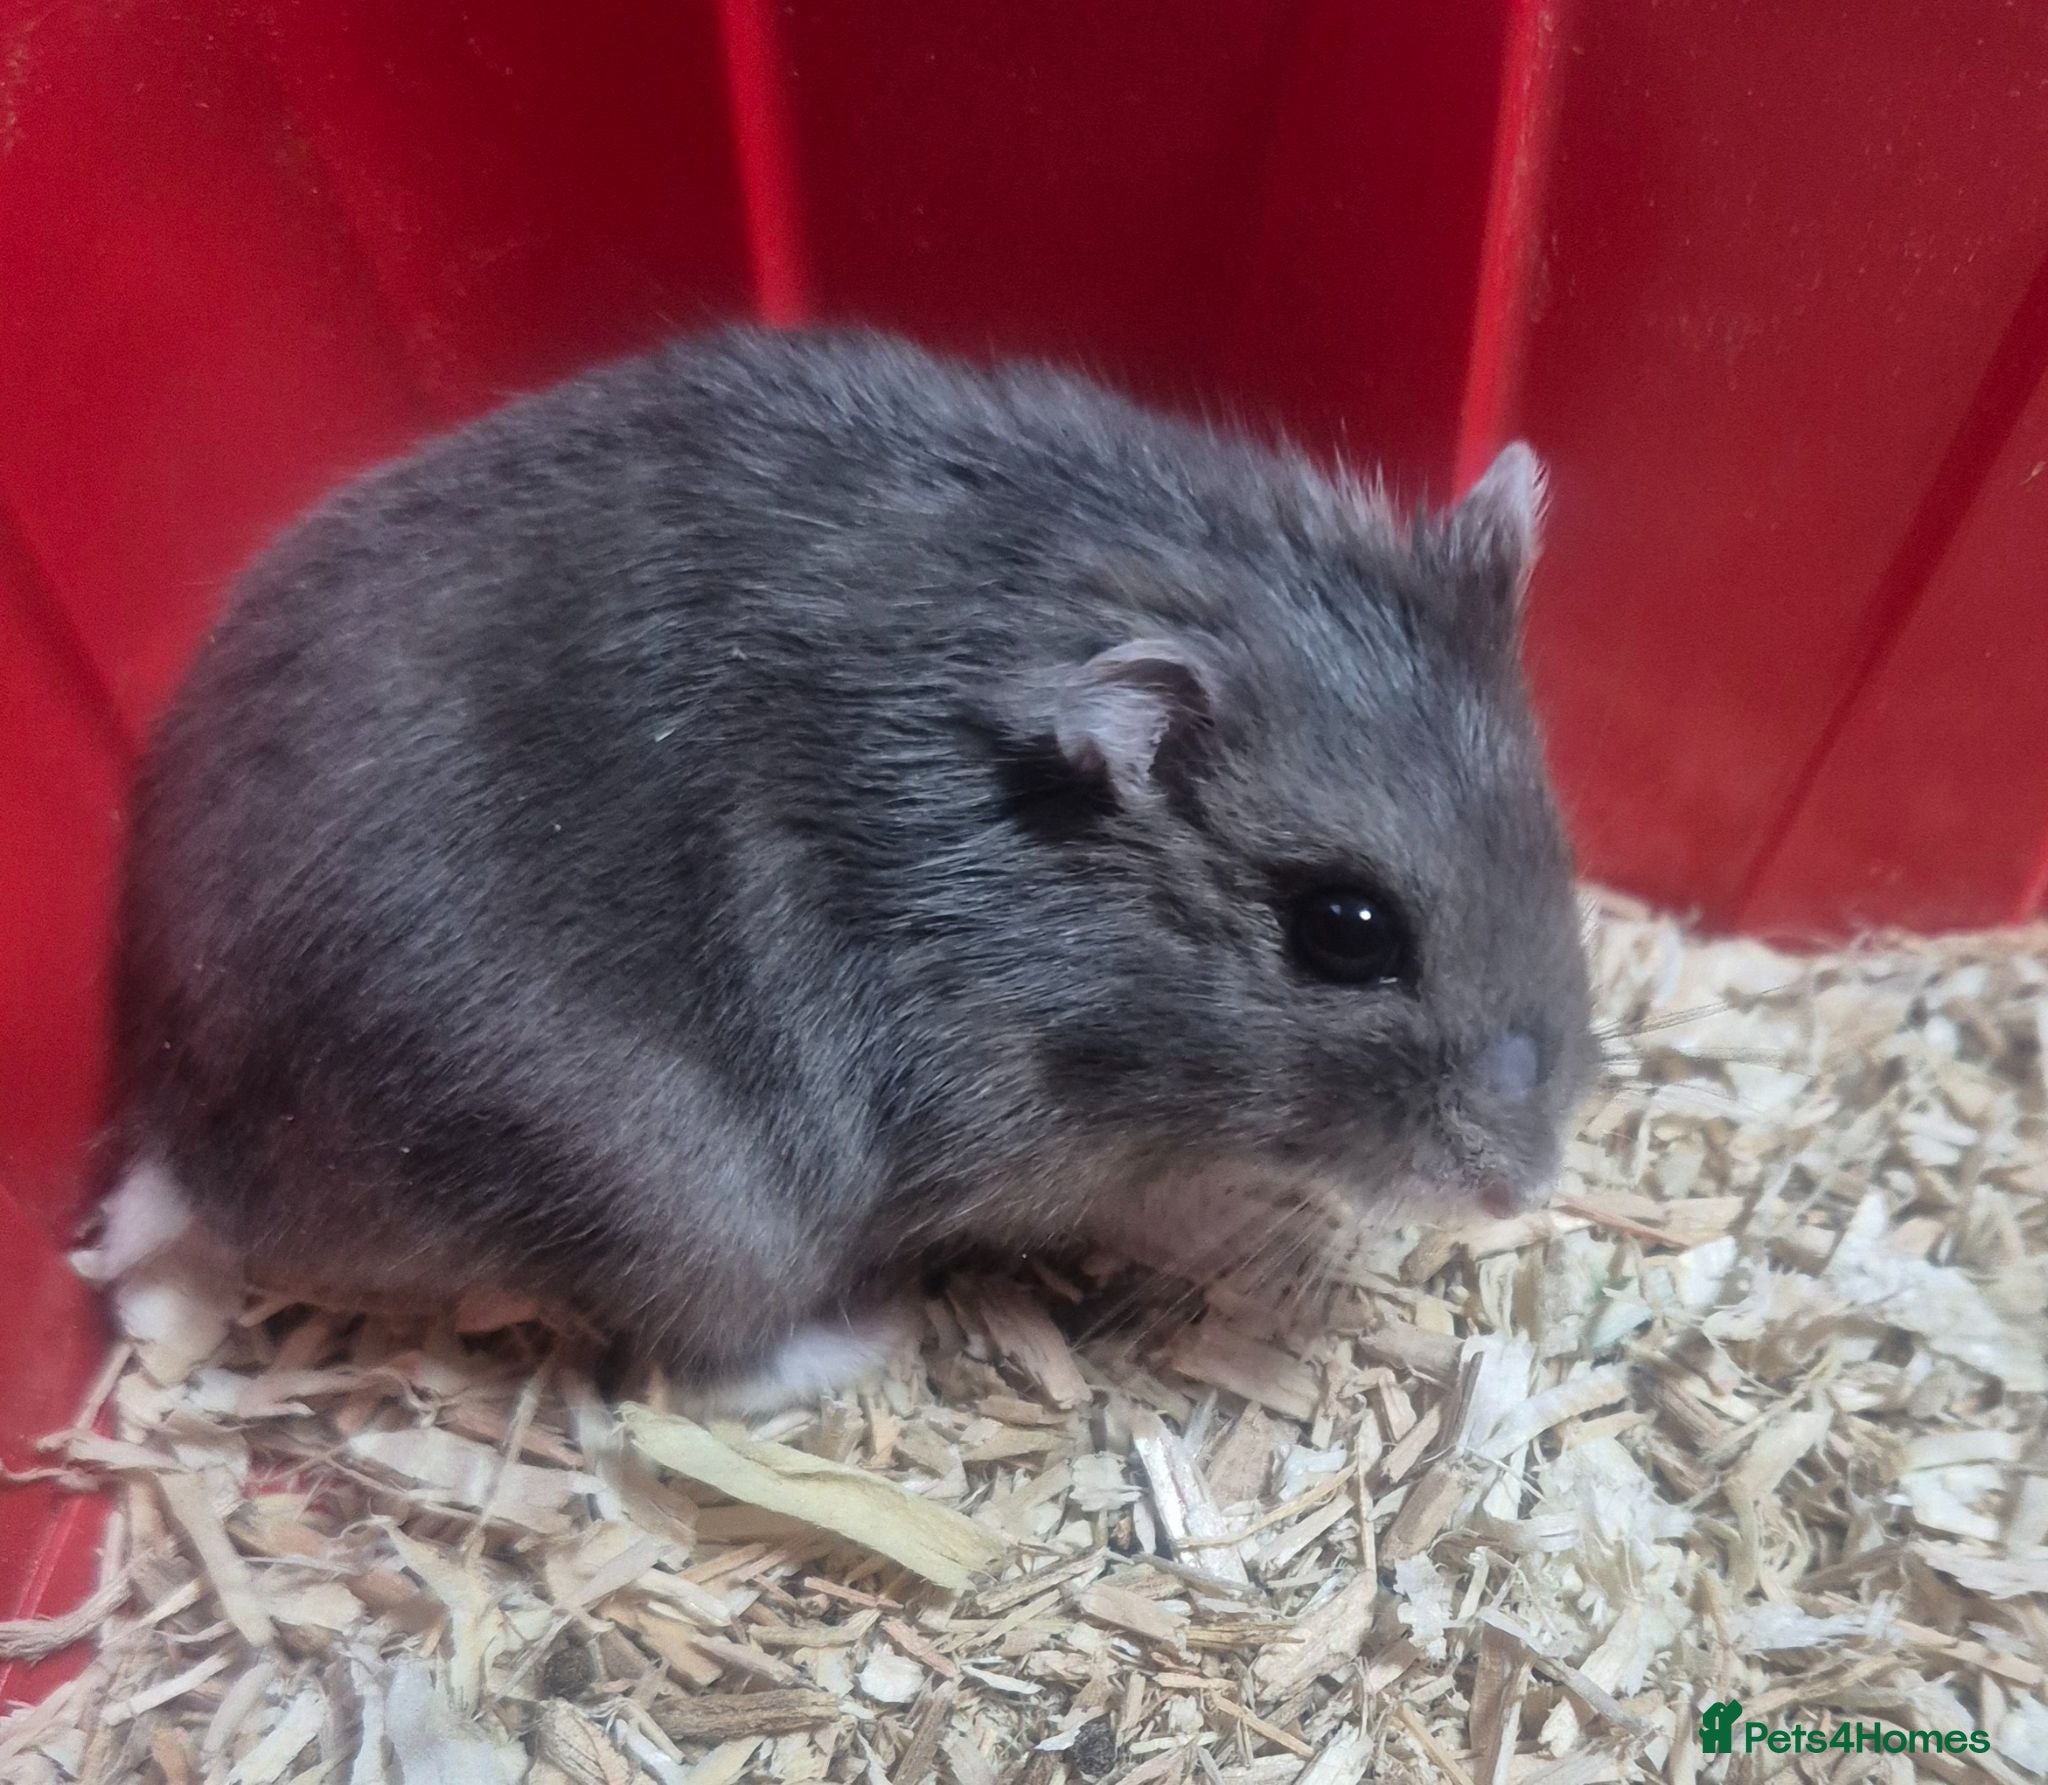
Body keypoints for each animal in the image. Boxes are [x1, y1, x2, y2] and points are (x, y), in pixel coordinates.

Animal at [109, 325, 1595, 1409]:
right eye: (1346, 928)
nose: (1524, 1186)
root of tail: (195, 1144)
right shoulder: (1009, 1137)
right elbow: (1155, 1207)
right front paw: (1240, 1226)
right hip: (686, 1202)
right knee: (694, 1371)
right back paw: (861, 1339)